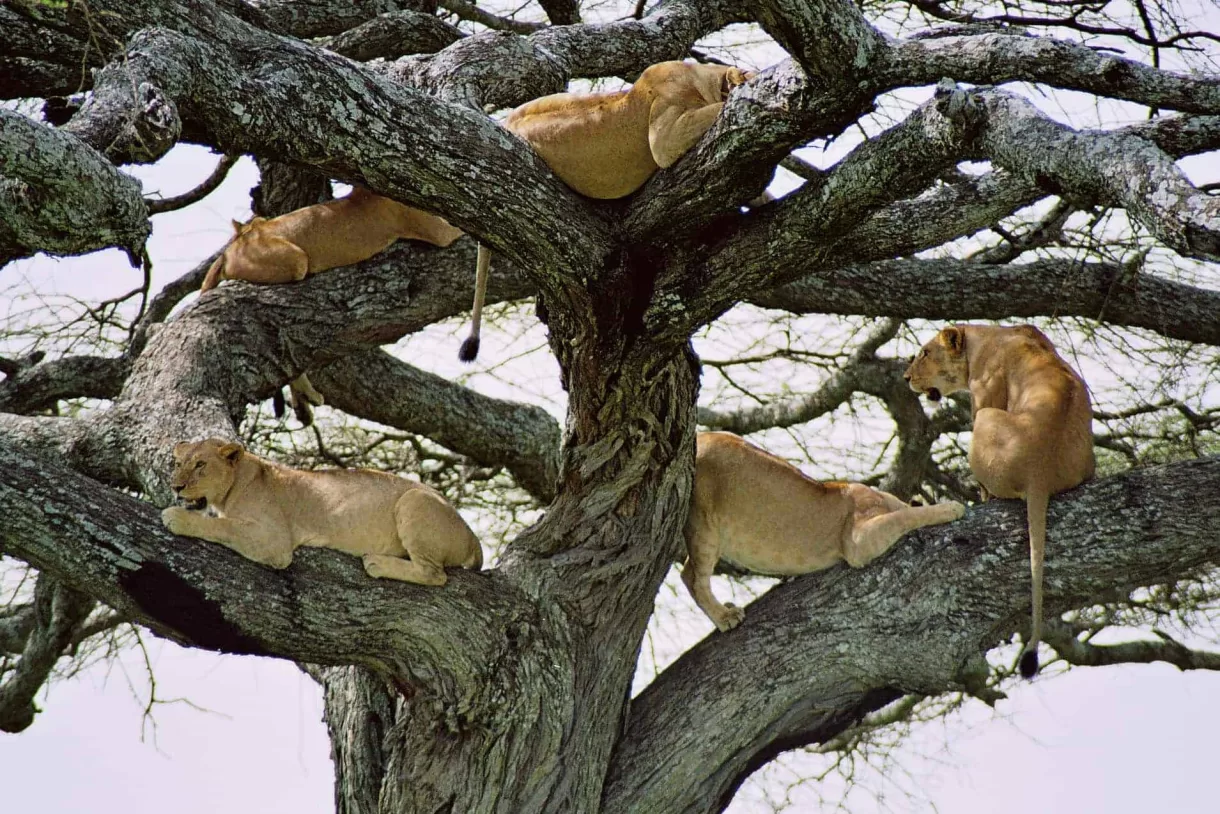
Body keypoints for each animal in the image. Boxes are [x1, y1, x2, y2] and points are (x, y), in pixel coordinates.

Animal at [161, 439, 480, 585]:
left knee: (435, 574)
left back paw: (376, 563)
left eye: (200, 465)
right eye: (177, 464)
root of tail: (472, 536)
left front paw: (176, 517)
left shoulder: (274, 541)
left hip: (414, 498)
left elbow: (224, 526)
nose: (176, 486)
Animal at [688, 429, 961, 634]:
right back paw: (725, 617)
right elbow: (908, 516)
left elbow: (907, 512)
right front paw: (953, 507)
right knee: (691, 577)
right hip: (703, 521)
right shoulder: (857, 541)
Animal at [907, 322, 1098, 678]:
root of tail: (1040, 472)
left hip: (986, 420)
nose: (906, 376)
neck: (984, 336)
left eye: (924, 353)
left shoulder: (984, 396)